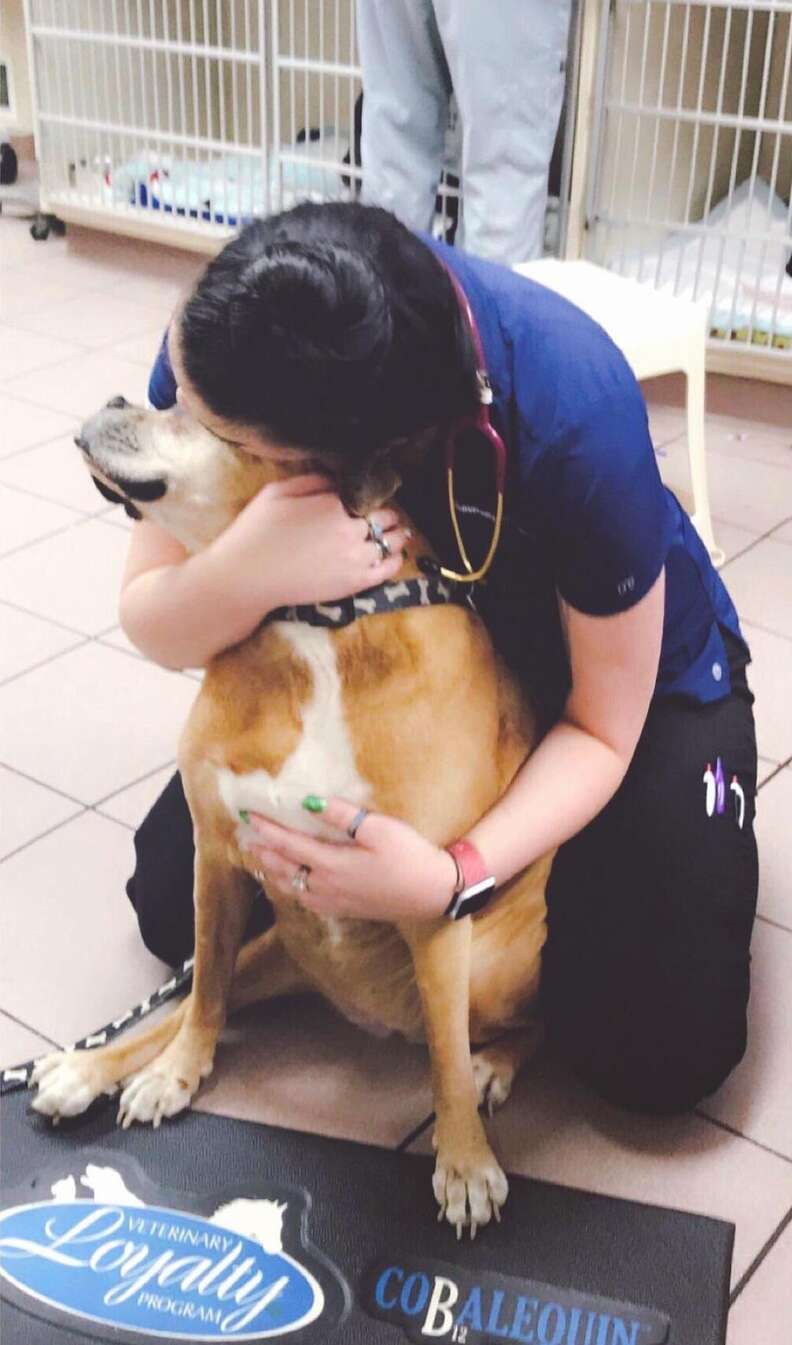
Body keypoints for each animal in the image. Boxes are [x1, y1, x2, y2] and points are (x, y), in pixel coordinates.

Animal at [30, 398, 548, 1237]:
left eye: (188, 412)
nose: (112, 400)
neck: (314, 617)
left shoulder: (430, 900)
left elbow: (444, 1054)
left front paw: (465, 1159)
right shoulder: (217, 856)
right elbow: (203, 987)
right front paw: (176, 1072)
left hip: (494, 966)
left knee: (511, 1026)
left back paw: (493, 1065)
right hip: (276, 950)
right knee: (194, 994)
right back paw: (89, 1066)